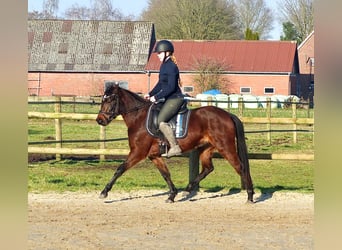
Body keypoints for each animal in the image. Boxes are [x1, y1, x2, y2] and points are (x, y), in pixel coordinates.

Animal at [96, 83, 254, 202]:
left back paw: (250, 196)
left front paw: (104, 192)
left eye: (109, 100)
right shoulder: (154, 155)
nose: (100, 120)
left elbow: (120, 169)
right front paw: (172, 195)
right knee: (208, 168)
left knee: (240, 167)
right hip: (206, 148)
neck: (138, 117)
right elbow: (166, 174)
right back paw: (187, 190)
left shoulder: (138, 152)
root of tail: (227, 114)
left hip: (225, 147)